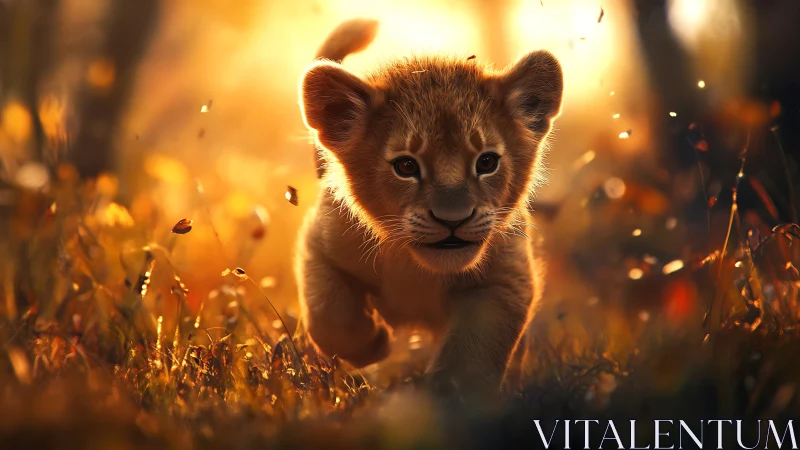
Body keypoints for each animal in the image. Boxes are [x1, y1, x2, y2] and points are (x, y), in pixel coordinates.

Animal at [295, 18, 563, 401]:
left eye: (487, 162)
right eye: (406, 166)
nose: (453, 219)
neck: (417, 268)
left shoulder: (505, 280)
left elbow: (471, 356)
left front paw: (446, 402)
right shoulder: (320, 246)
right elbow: (329, 314)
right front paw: (373, 345)